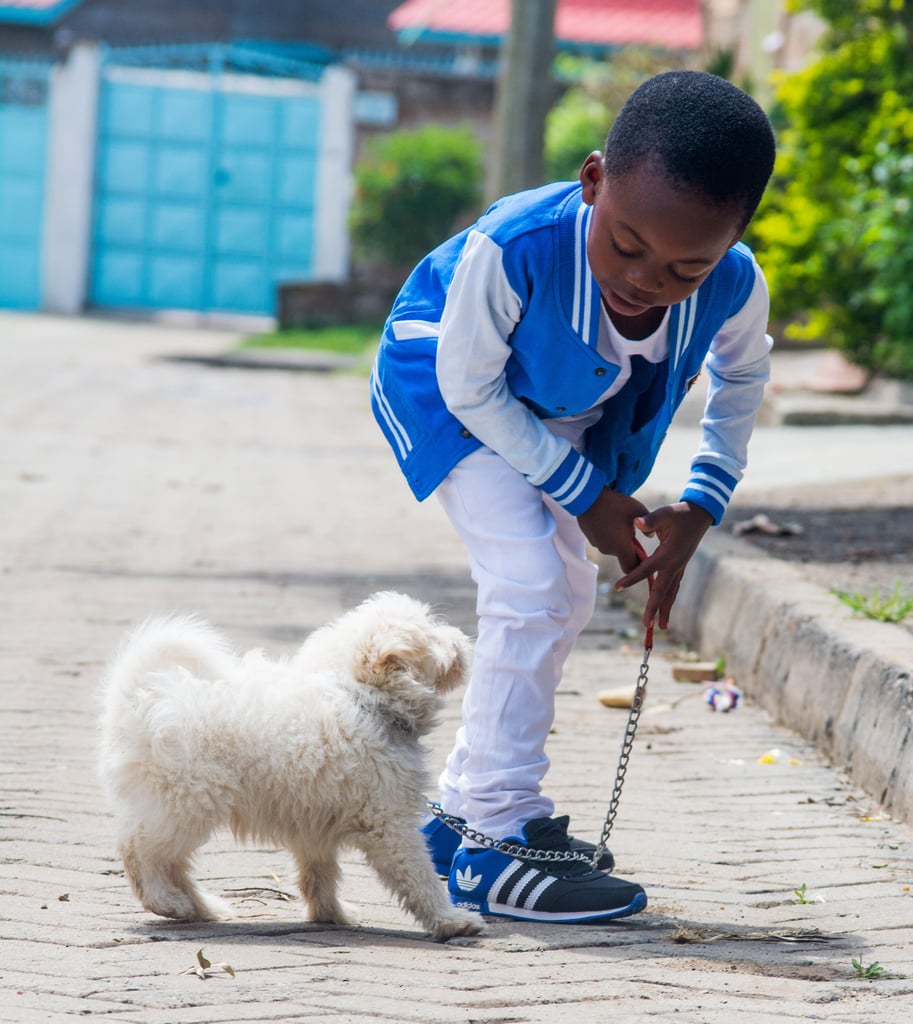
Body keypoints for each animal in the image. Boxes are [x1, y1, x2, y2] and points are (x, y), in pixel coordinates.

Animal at [98, 589, 485, 937]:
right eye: (432, 633)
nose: (464, 638)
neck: (363, 701)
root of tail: (140, 697)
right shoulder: (390, 825)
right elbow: (419, 877)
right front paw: (452, 921)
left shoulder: (314, 823)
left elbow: (318, 874)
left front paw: (331, 913)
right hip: (185, 801)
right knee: (138, 849)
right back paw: (166, 901)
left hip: (180, 807)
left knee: (171, 863)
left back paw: (201, 907)